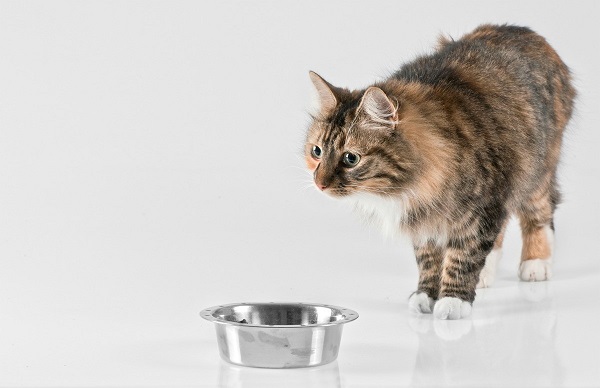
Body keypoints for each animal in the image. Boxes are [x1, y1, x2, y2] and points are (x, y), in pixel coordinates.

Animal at [304, 25, 576, 322]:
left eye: (350, 158)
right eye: (317, 152)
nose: (319, 183)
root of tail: (522, 30)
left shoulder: (482, 207)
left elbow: (463, 257)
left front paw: (453, 301)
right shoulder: (426, 218)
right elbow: (429, 261)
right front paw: (426, 295)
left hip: (535, 170)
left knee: (541, 213)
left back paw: (536, 263)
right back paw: (486, 272)